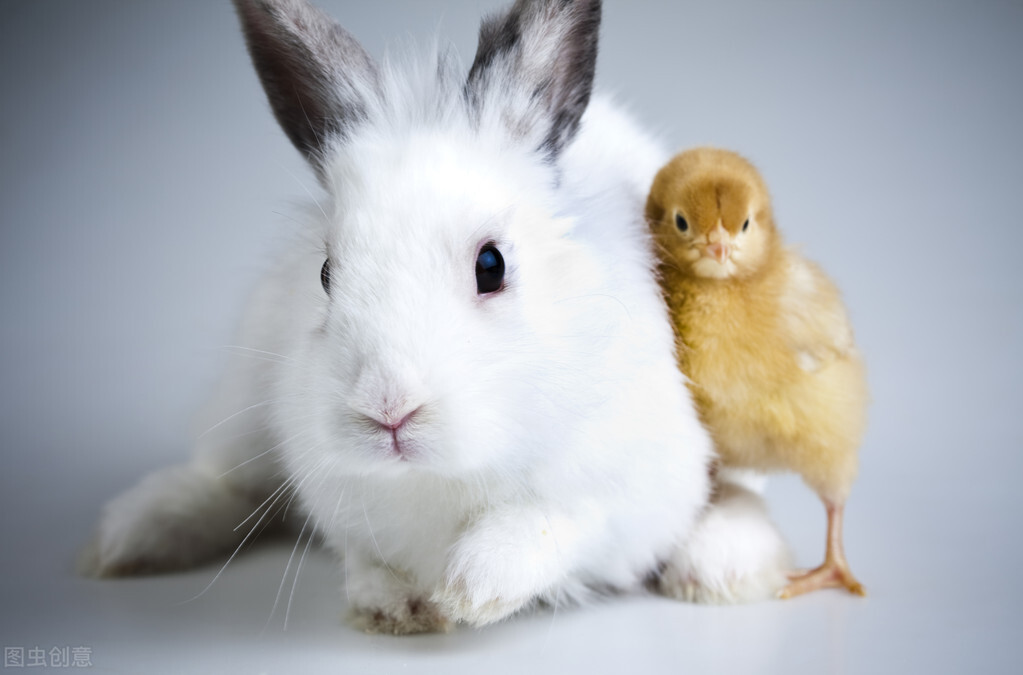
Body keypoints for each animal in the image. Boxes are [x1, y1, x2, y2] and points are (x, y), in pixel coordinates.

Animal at [80, 0, 792, 633]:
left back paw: (720, 570)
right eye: (326, 274)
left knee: (741, 491)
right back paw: (129, 538)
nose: (388, 409)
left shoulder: (626, 490)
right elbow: (366, 559)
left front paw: (471, 588)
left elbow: (554, 523)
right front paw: (395, 608)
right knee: (226, 480)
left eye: (492, 265)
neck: (445, 475)